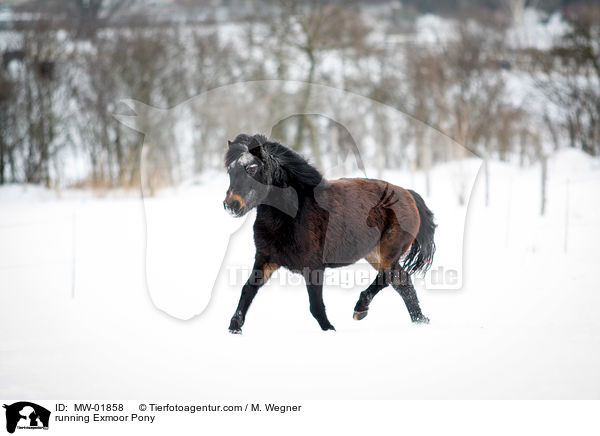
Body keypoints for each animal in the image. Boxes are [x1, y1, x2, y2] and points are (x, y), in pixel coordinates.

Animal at [223, 134, 434, 334]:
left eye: (251, 169)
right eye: (230, 171)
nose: (231, 205)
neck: (293, 213)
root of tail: (408, 194)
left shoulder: (313, 267)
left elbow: (315, 306)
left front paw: (330, 330)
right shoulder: (265, 259)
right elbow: (247, 290)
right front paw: (234, 327)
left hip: (388, 252)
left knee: (388, 277)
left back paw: (361, 309)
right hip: (374, 254)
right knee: (402, 281)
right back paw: (419, 320)